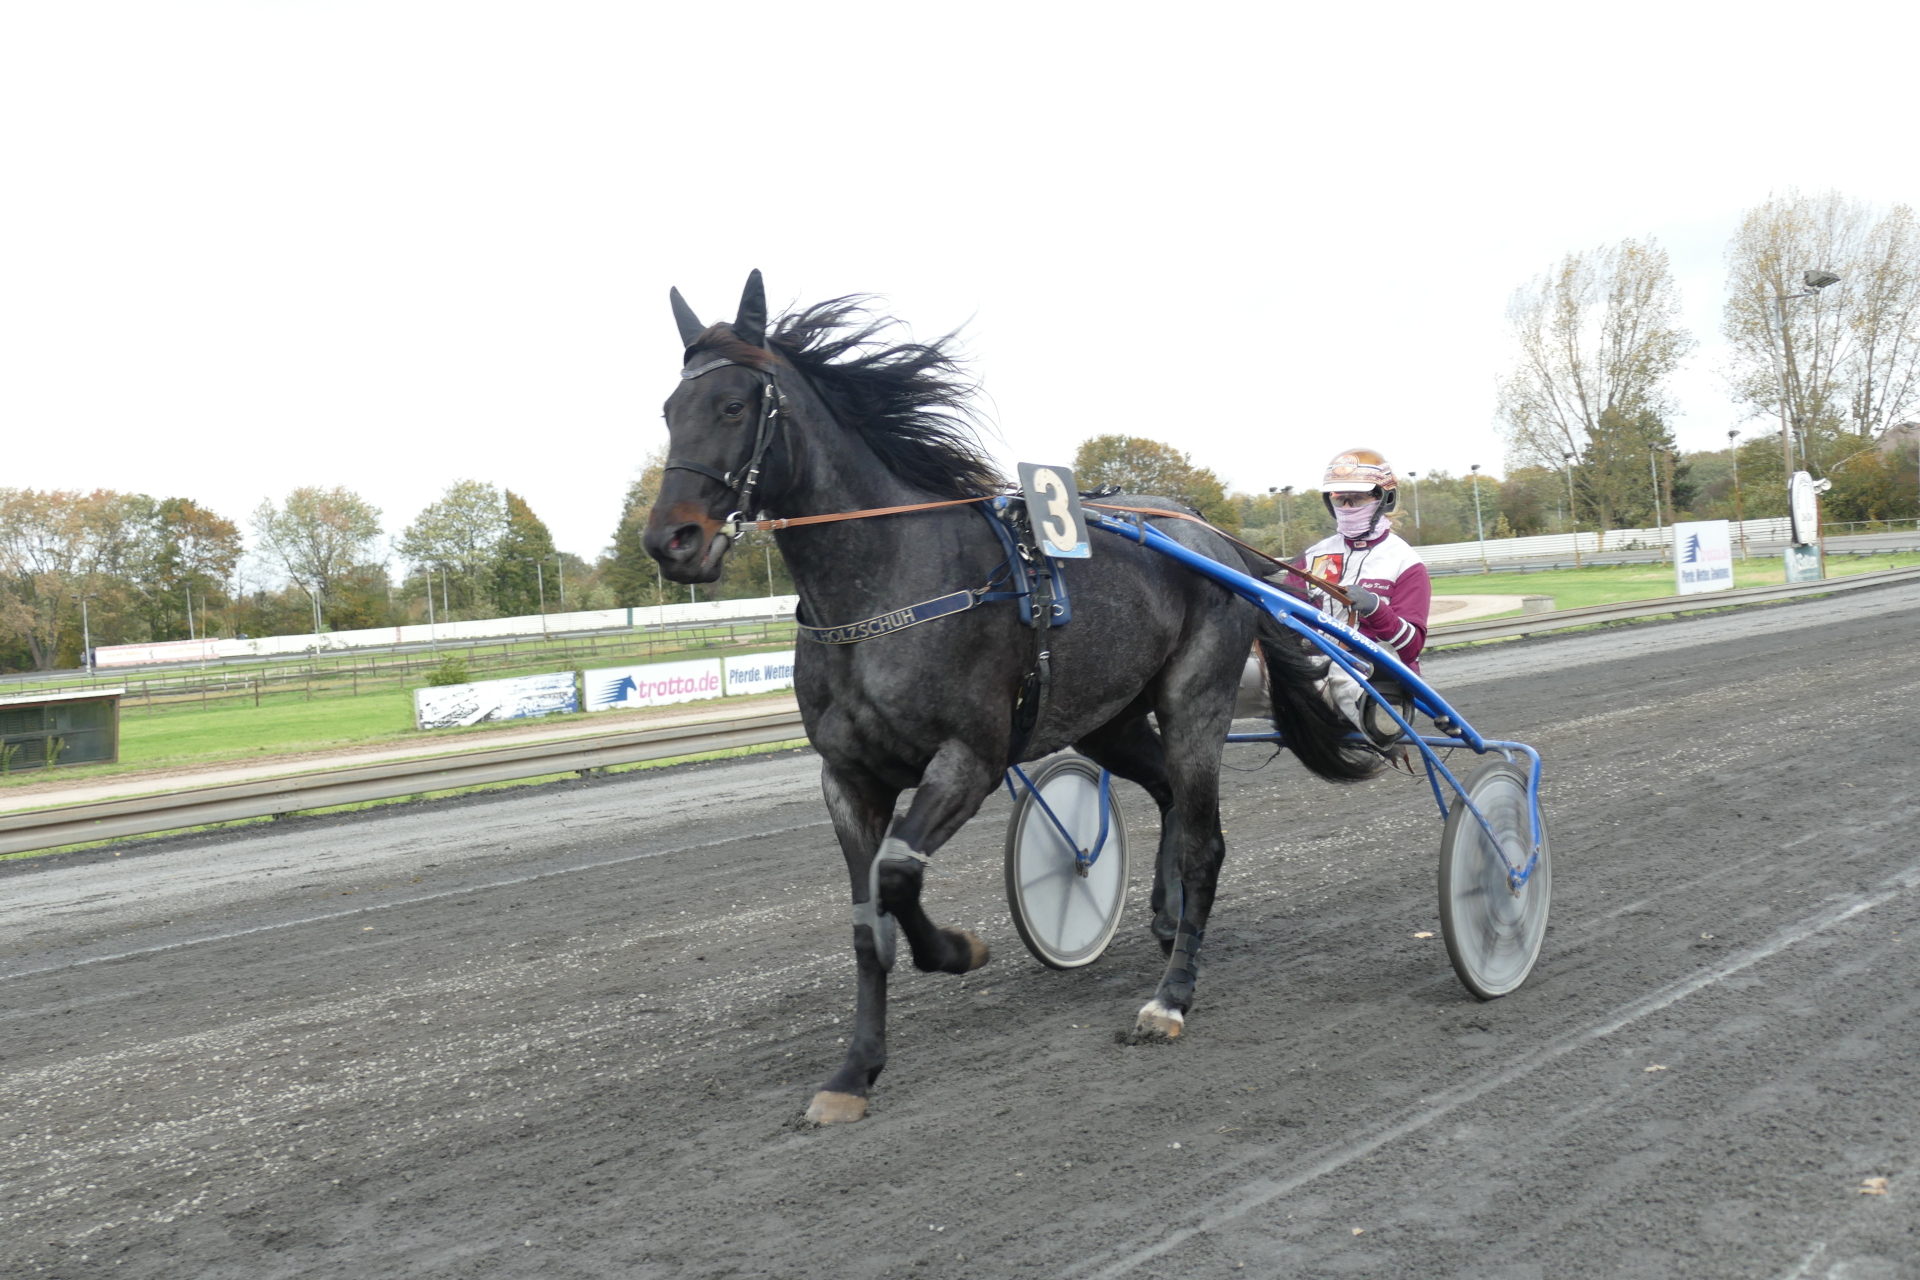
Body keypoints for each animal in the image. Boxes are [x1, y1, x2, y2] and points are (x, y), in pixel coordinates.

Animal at [643, 270, 1370, 1123]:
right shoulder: (846, 778)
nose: (670, 541)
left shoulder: (972, 757)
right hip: (1107, 717)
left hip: (1197, 697)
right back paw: (1165, 918)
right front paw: (853, 1072)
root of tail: (1207, 534)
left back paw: (1171, 996)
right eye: (670, 409)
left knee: (1204, 840)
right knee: (1163, 792)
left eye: (732, 406)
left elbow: (898, 875)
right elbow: (864, 922)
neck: (886, 586)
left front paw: (958, 948)